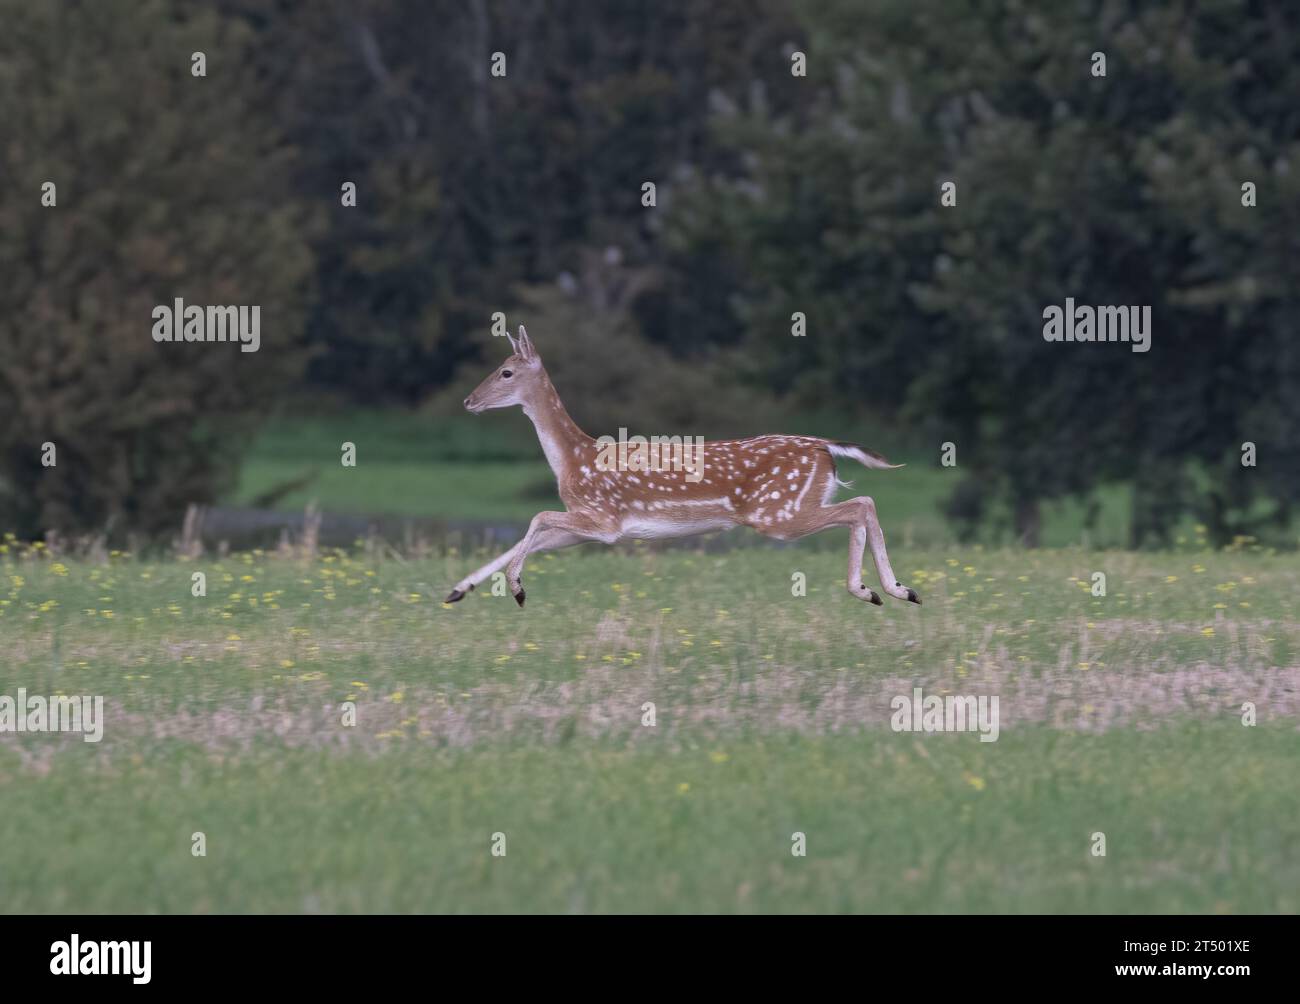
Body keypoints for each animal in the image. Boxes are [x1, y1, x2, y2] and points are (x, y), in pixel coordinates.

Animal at [449, 325, 925, 608]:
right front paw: (458, 589)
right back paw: (895, 590)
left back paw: (873, 589)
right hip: (788, 507)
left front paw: (516, 588)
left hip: (777, 511)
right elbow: (530, 538)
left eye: (506, 372)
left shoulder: (603, 518)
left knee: (860, 505)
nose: (468, 400)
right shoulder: (587, 528)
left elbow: (536, 517)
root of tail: (825, 446)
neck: (573, 458)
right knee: (864, 504)